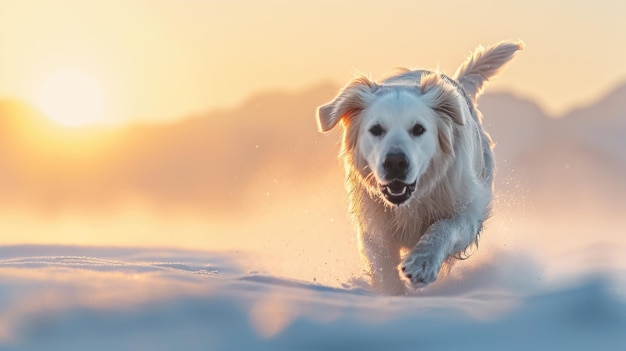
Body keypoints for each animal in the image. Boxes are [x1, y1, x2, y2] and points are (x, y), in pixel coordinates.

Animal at [316, 41, 520, 296]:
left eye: (418, 129)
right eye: (376, 129)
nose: (395, 163)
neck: (411, 203)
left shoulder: (468, 209)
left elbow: (443, 227)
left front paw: (422, 263)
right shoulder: (374, 225)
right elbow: (383, 267)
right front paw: (394, 295)